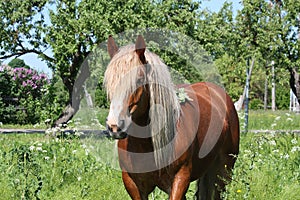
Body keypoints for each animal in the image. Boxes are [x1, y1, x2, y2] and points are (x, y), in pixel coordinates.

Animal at [103, 35, 239, 199]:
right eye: (109, 82)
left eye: (139, 79)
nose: (115, 126)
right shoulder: (133, 184)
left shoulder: (180, 179)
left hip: (223, 172)